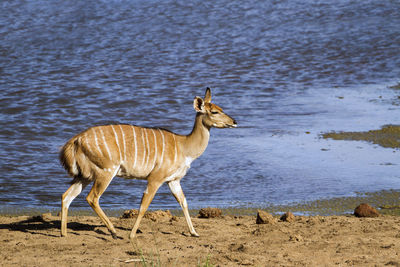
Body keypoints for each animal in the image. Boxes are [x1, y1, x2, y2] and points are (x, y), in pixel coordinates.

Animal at [58, 88, 234, 241]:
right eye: (214, 112)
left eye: (220, 108)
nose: (234, 121)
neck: (184, 146)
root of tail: (76, 140)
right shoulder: (155, 178)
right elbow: (144, 205)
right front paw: (132, 235)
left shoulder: (173, 180)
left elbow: (183, 201)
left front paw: (194, 232)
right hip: (106, 171)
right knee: (92, 197)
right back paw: (114, 232)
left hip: (85, 175)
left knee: (67, 196)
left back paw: (64, 233)